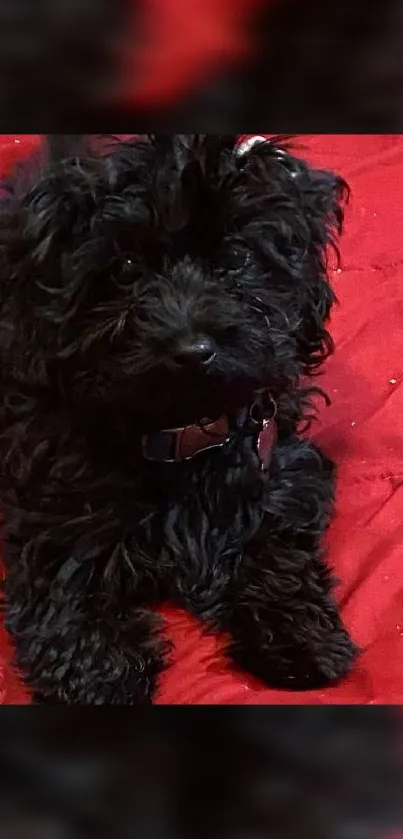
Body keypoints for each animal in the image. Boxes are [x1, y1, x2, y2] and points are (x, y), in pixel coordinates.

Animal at [0, 136, 358, 704]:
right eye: (126, 266)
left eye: (236, 257)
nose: (193, 350)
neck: (181, 430)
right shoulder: (54, 488)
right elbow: (66, 571)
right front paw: (98, 676)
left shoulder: (278, 462)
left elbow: (272, 538)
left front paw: (301, 634)